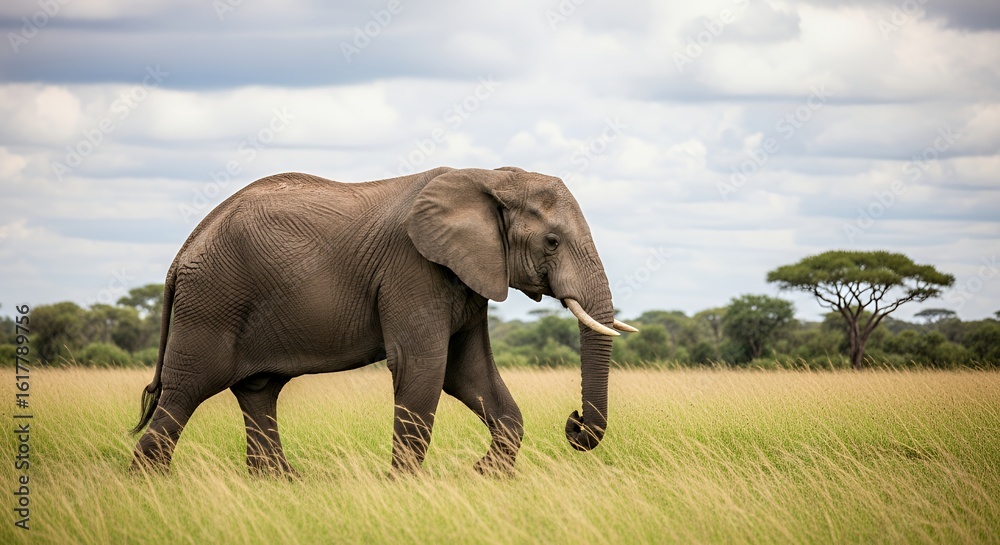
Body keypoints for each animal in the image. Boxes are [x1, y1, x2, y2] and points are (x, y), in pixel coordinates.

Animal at [130, 166, 636, 476]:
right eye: (552, 241)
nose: (573, 422)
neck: (490, 177)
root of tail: (183, 252)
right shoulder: (412, 268)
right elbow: (424, 369)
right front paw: (405, 488)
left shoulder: (468, 275)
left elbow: (468, 373)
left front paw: (483, 476)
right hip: (211, 303)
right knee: (185, 391)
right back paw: (150, 487)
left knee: (258, 392)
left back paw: (282, 483)